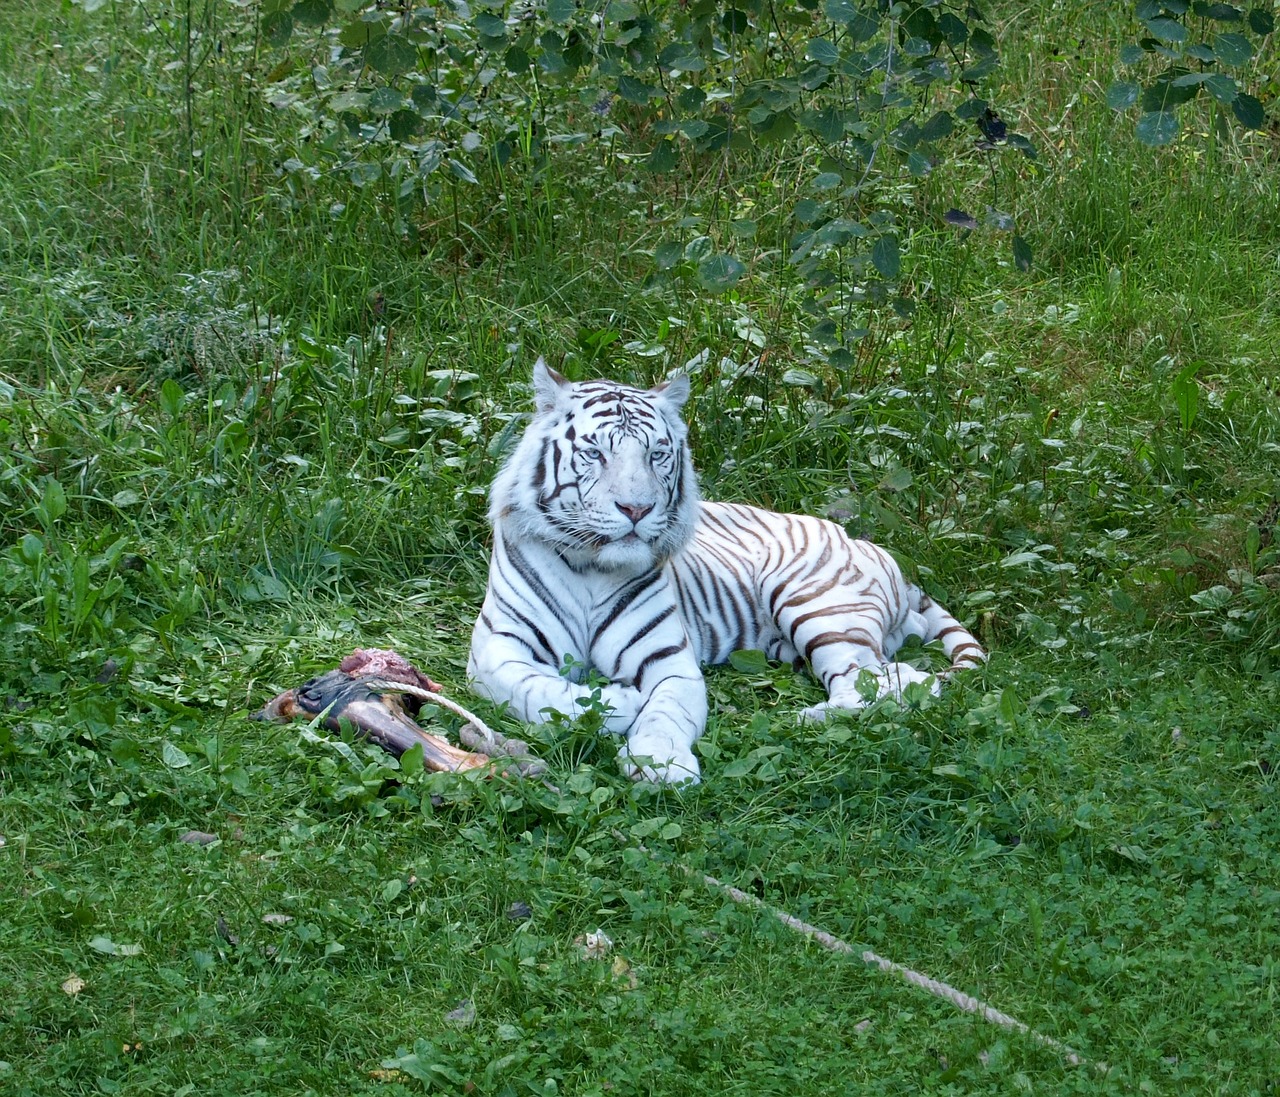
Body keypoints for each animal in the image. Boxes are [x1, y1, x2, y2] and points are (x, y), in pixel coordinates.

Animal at [465, 363, 983, 783]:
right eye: (595, 454)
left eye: (656, 454)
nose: (636, 509)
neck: (593, 566)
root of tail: (868, 544)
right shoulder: (496, 652)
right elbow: (539, 692)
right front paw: (617, 701)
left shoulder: (670, 662)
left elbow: (666, 714)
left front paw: (660, 764)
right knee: (902, 677)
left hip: (817, 605)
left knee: (878, 682)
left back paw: (806, 720)